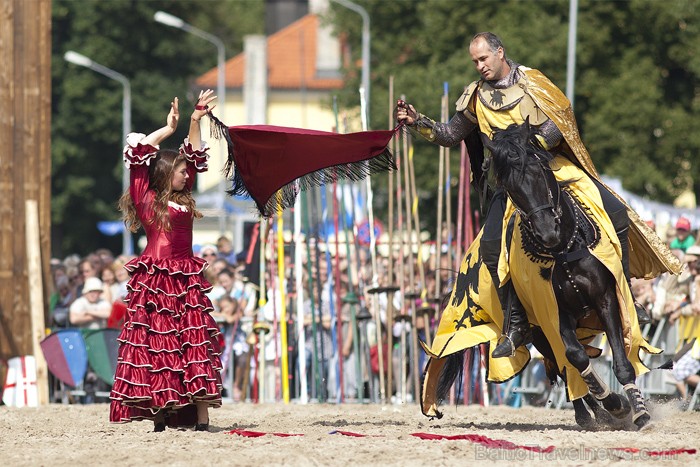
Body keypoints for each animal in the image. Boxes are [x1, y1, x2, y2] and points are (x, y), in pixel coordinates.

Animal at [482, 121, 652, 432]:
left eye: (539, 172)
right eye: (510, 187)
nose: (547, 231)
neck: (563, 251)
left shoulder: (606, 299)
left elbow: (621, 361)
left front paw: (638, 411)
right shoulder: (554, 314)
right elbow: (575, 356)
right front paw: (614, 403)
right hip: (539, 334)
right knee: (563, 367)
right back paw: (590, 413)